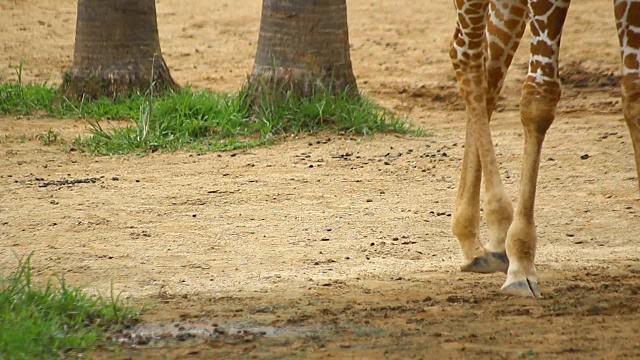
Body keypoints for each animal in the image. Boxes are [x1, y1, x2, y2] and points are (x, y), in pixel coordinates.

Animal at [450, 0, 640, 298]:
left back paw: (485, 244)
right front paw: (522, 265)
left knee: (490, 61)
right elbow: (539, 96)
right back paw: (491, 229)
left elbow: (635, 95)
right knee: (467, 54)